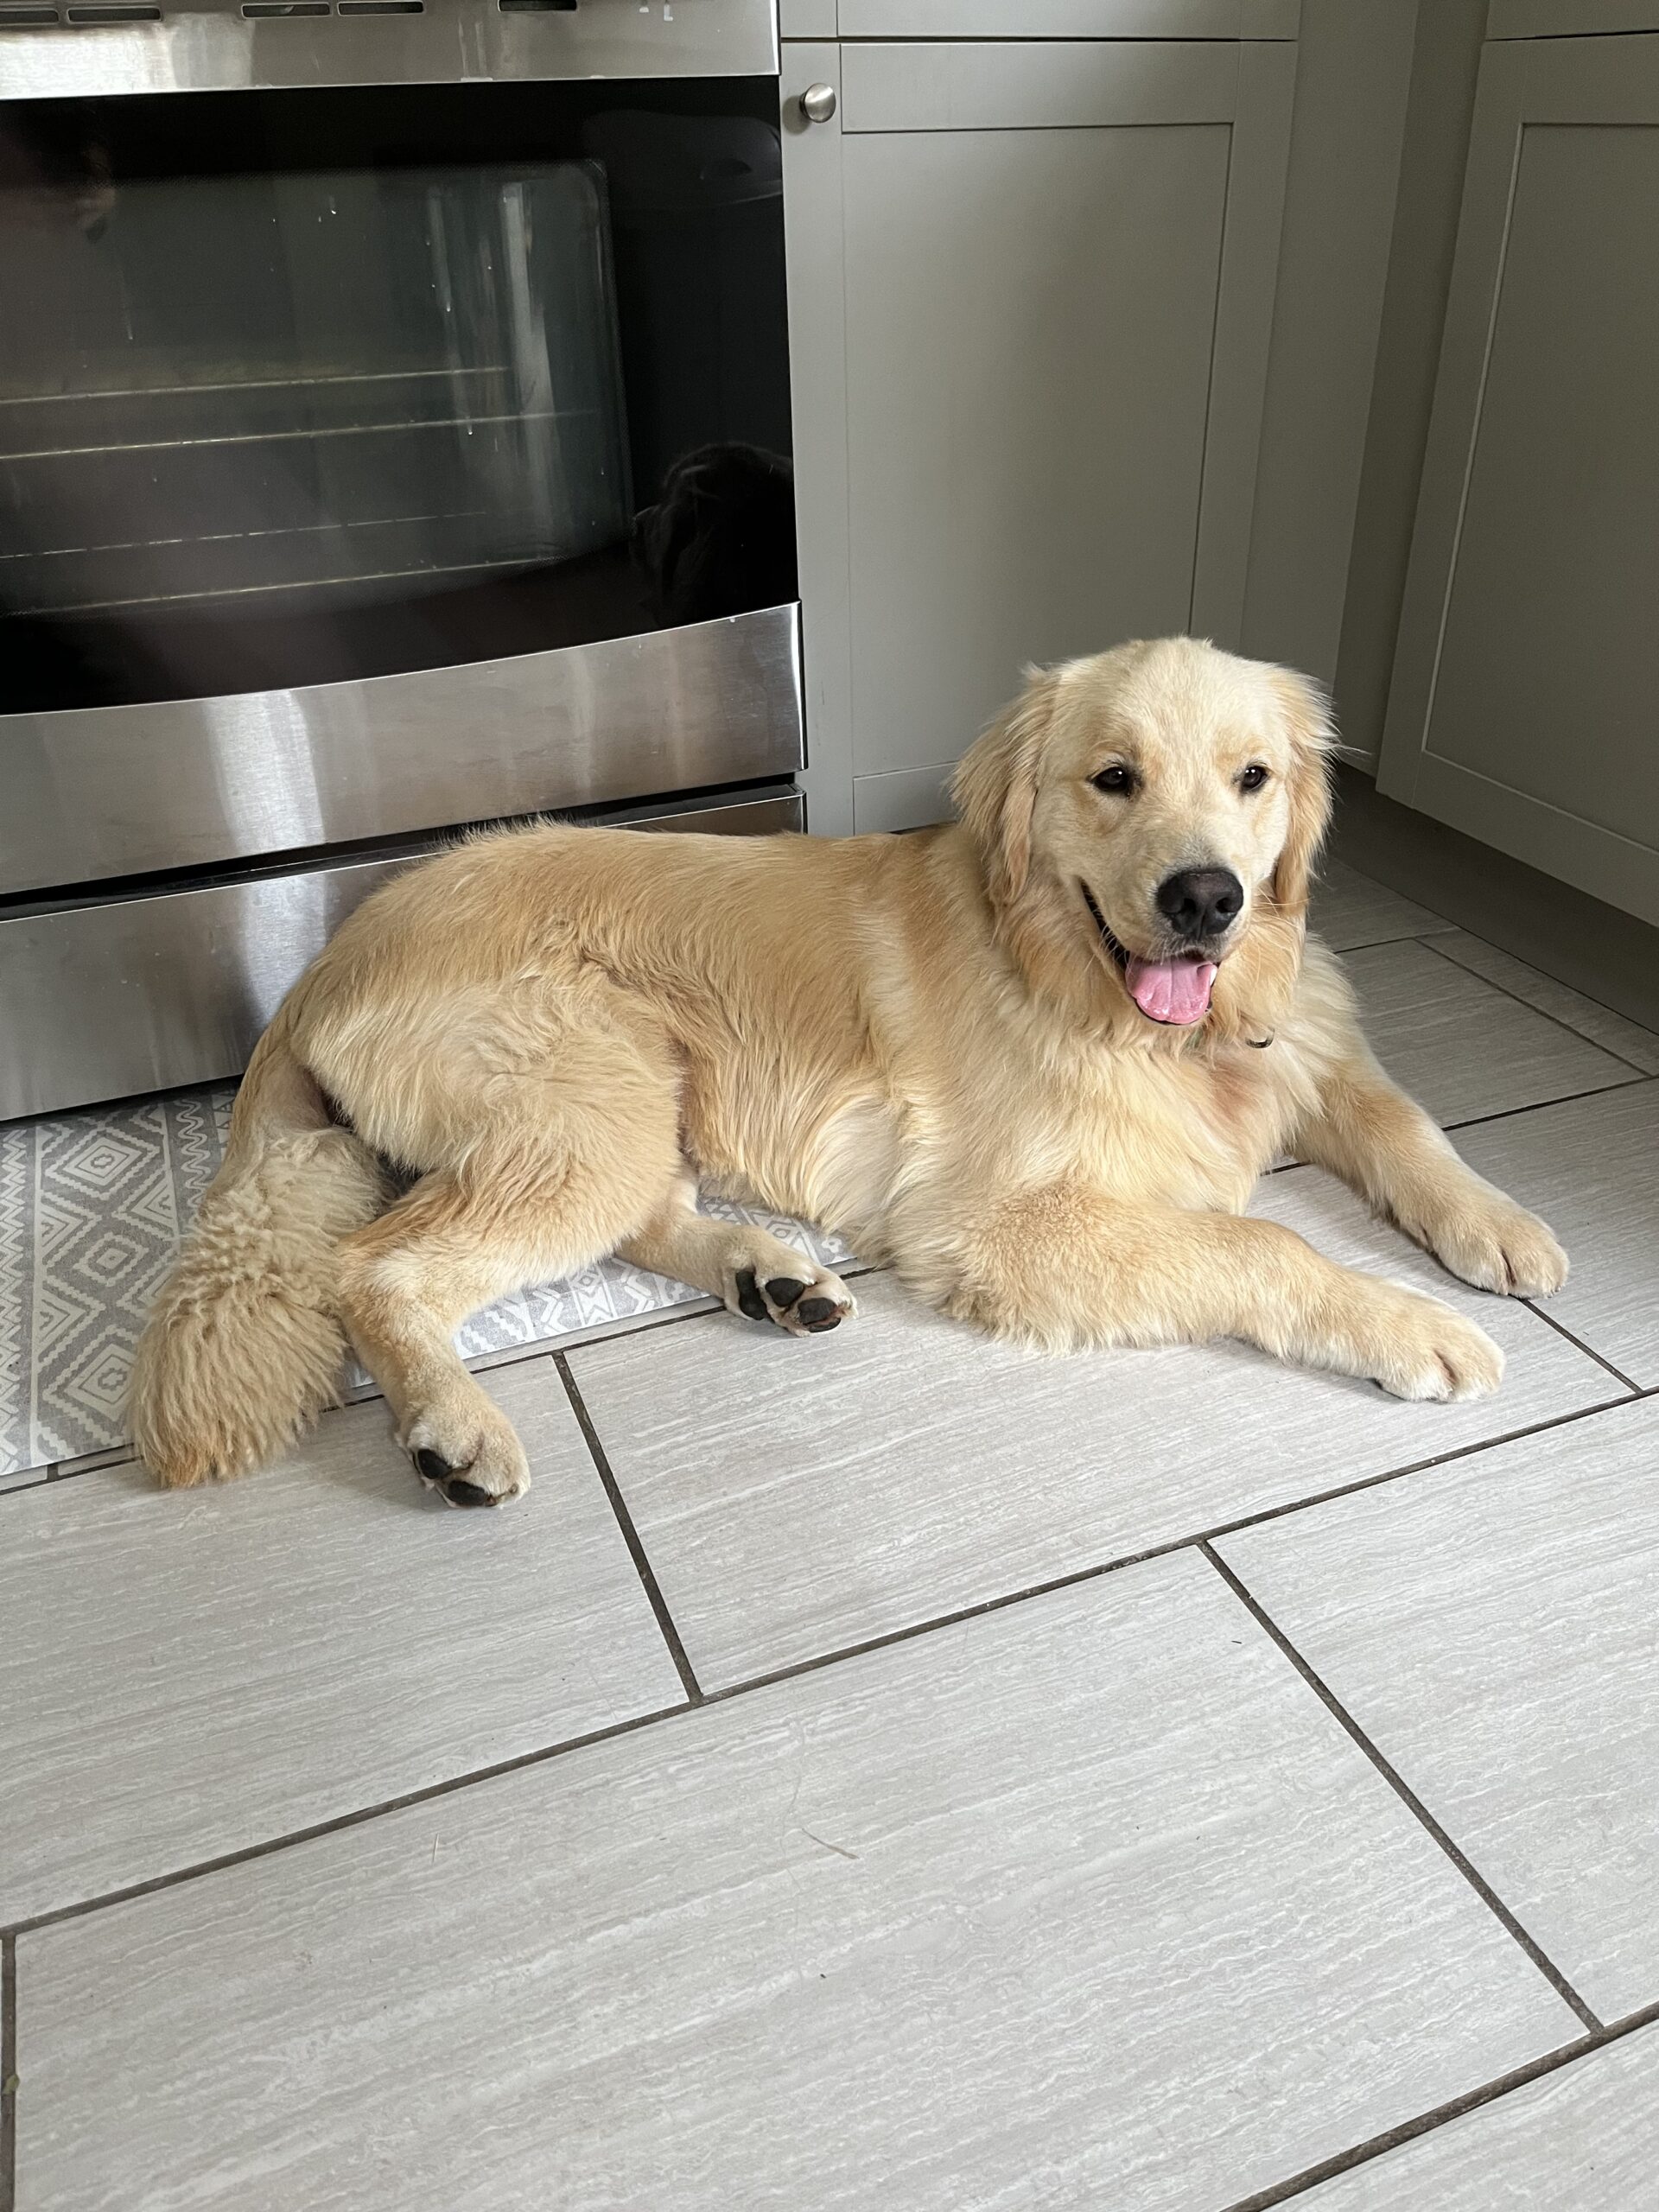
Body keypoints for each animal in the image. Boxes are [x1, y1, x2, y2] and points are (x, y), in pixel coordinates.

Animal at [130, 636, 1567, 1507]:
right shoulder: (1004, 1224)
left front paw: (1502, 1228)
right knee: (374, 1267)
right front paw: (1417, 1328)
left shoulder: (1307, 1050)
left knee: (640, 1216)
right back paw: (452, 1425)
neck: (1093, 986)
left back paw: (767, 1275)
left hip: (632, 1100)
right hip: (590, 1095)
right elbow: (1266, 1246)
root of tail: (325, 953)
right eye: (1114, 779)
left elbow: (1406, 1118)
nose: (1207, 899)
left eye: (1254, 778)